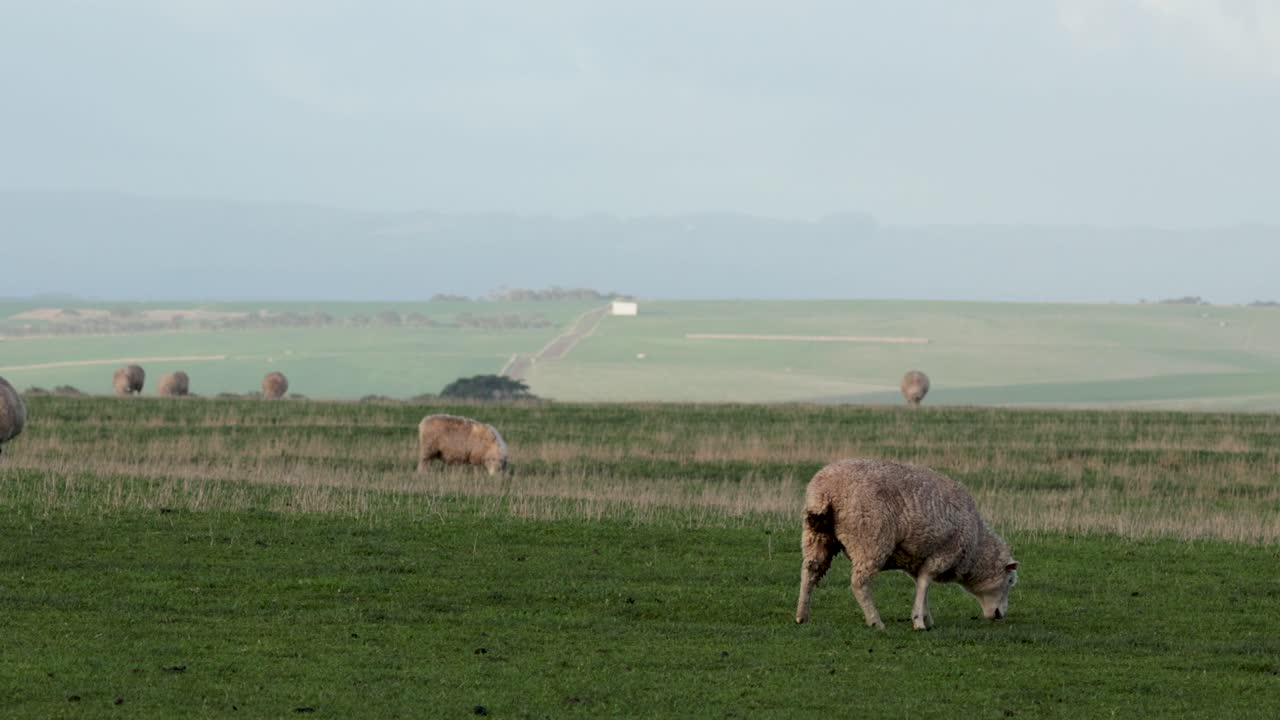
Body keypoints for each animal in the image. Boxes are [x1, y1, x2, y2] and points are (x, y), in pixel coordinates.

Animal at [795, 458, 1018, 630]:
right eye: (1009, 581)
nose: (1001, 615)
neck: (977, 547)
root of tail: (825, 491)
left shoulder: (916, 560)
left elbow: (920, 585)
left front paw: (926, 617)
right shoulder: (942, 554)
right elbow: (925, 583)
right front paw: (919, 622)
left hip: (817, 537)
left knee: (810, 572)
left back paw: (801, 615)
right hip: (870, 541)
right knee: (859, 583)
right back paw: (875, 621)